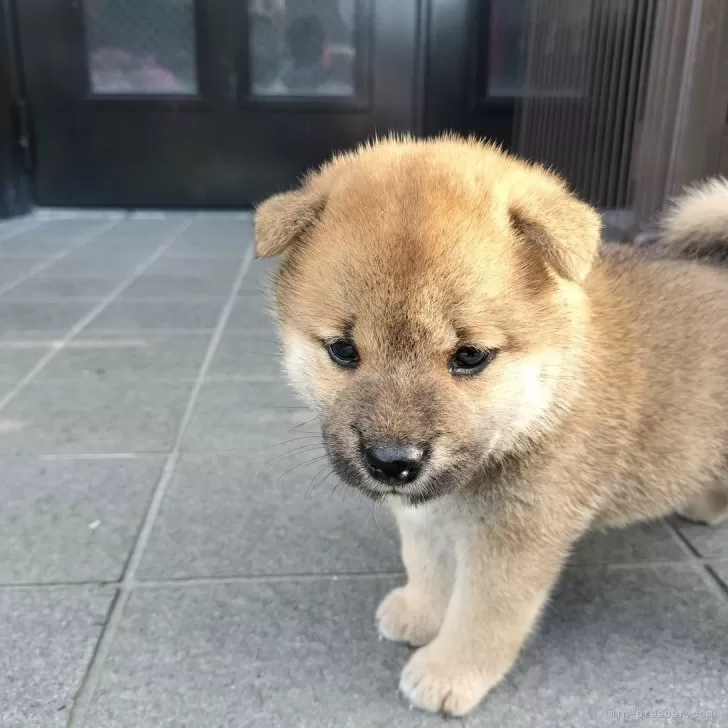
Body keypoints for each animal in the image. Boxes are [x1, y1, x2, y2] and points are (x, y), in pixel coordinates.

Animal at [255, 138, 728, 716]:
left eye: (470, 356)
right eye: (343, 351)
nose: (392, 462)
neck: (549, 401)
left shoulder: (516, 534)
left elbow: (483, 615)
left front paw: (448, 673)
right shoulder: (426, 518)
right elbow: (427, 567)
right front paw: (419, 613)